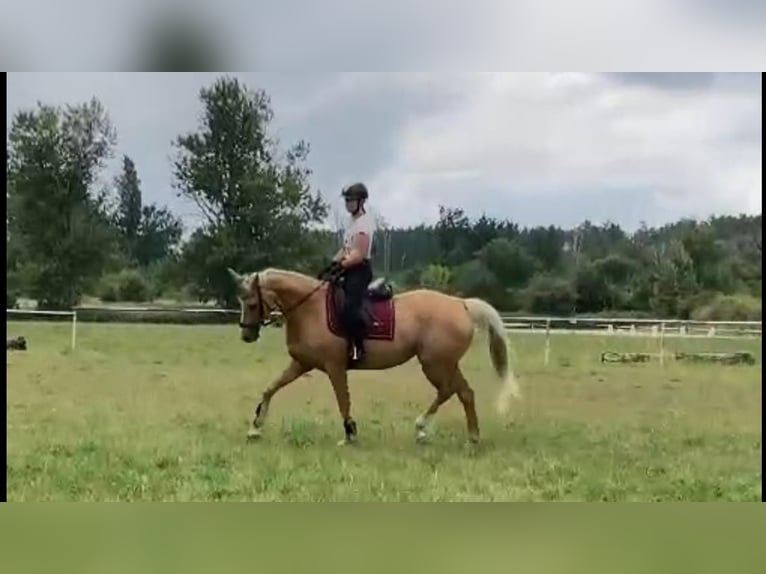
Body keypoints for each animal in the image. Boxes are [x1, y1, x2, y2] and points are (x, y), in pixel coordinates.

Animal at [225, 268, 520, 448]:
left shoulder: (335, 367)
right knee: (463, 393)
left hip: (436, 364)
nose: (246, 335)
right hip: (444, 364)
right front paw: (255, 427)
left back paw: (427, 427)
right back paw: (468, 436)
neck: (310, 309)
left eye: (252, 303)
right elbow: (271, 388)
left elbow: (343, 400)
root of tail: (461, 304)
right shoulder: (301, 363)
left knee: (452, 391)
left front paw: (349, 435)